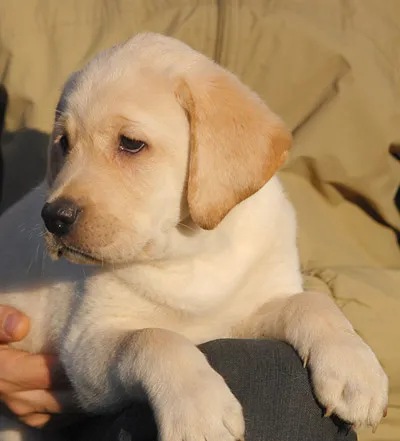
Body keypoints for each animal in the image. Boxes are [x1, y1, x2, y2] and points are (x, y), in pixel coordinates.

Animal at [0, 34, 388, 440]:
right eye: (64, 143)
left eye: (131, 143)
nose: (53, 218)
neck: (193, 251)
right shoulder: (85, 349)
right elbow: (154, 338)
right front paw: (200, 412)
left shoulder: (245, 311)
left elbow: (311, 302)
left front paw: (355, 368)